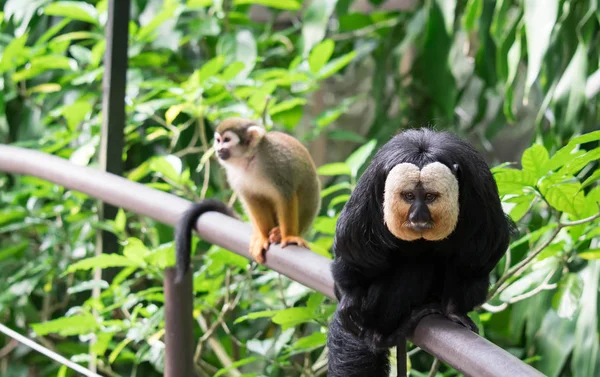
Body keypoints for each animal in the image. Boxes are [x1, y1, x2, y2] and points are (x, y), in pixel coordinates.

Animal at [176, 118, 322, 282]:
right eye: (218, 141)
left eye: (227, 140)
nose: (219, 149)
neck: (247, 160)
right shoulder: (234, 176)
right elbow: (252, 199)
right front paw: (263, 237)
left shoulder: (276, 164)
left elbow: (286, 195)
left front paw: (289, 236)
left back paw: (280, 232)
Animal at [326, 128, 516, 374]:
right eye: (409, 196)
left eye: (429, 197)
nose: (418, 215)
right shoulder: (371, 188)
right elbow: (354, 252)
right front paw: (350, 297)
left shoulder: (479, 188)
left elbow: (476, 258)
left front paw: (454, 310)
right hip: (372, 306)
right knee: (413, 267)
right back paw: (381, 336)